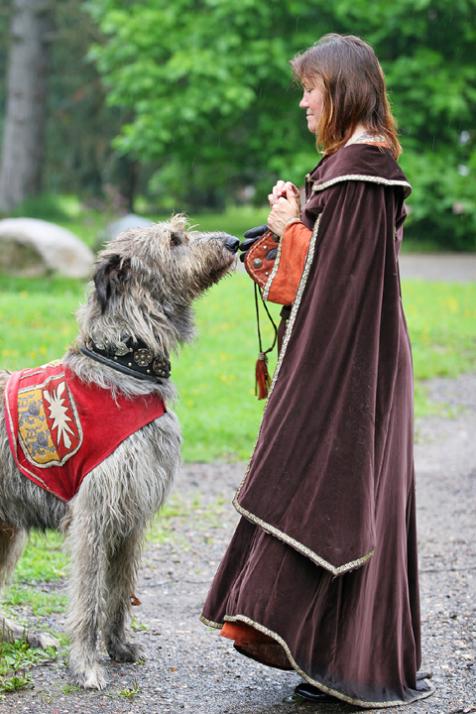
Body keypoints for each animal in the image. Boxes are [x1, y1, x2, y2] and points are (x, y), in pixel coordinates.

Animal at [0, 214, 238, 688]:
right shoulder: (94, 514)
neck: (124, 362)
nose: (233, 241)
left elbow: (120, 588)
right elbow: (91, 594)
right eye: (175, 240)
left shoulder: (130, 515)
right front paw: (87, 663)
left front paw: (119, 645)